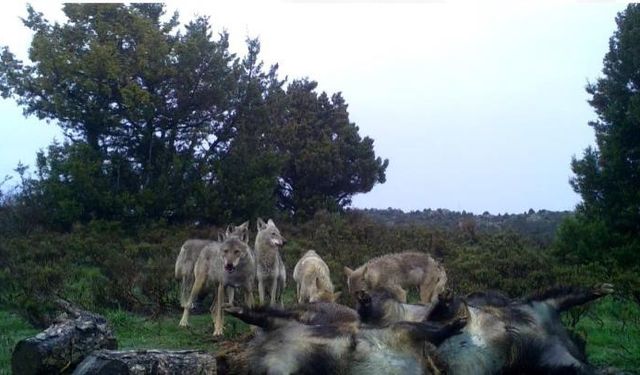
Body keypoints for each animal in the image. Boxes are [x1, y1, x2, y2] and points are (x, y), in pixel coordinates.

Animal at [424, 284, 616, 374]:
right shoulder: (540, 304)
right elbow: (566, 295)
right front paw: (602, 288)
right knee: (438, 314)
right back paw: (445, 301)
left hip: (470, 366)